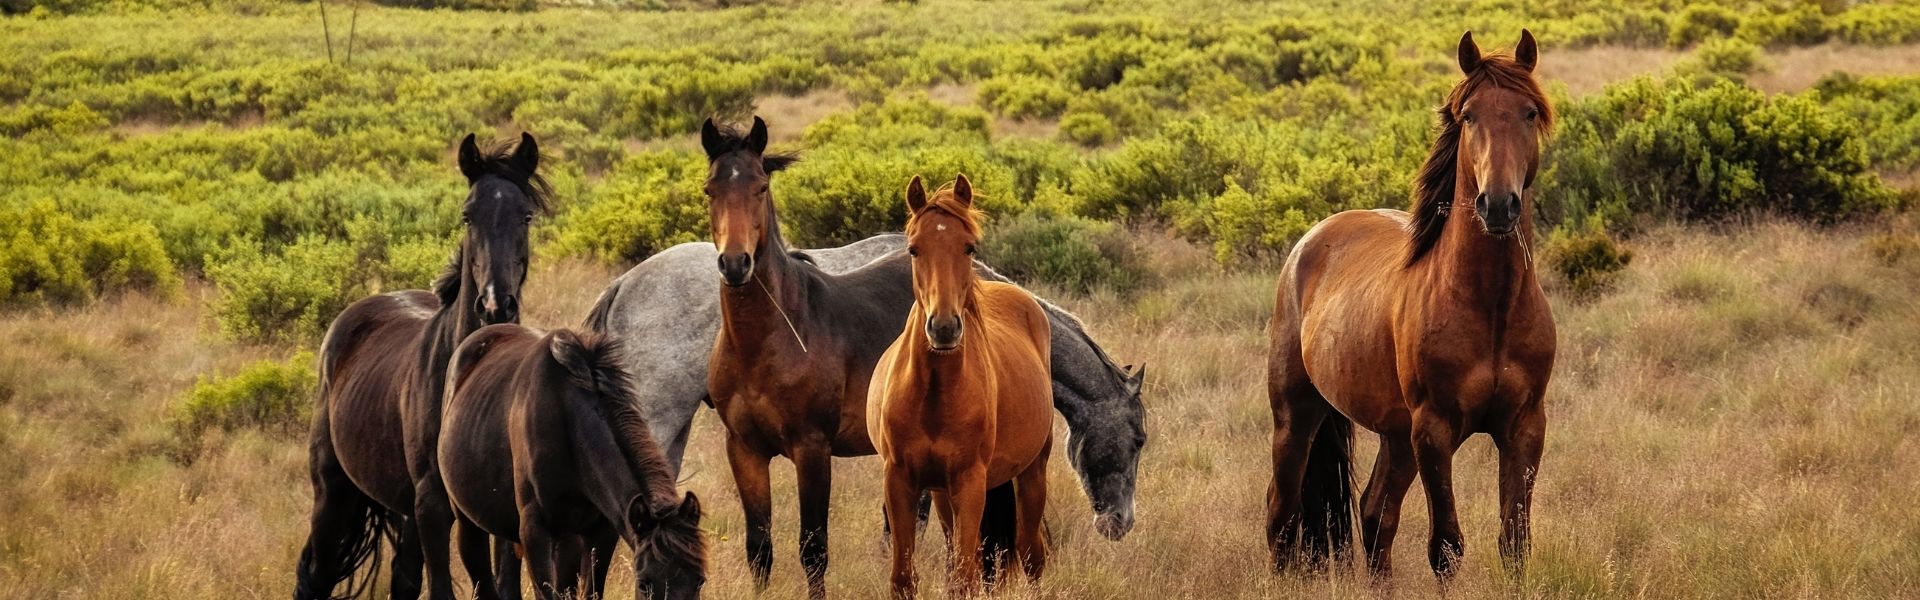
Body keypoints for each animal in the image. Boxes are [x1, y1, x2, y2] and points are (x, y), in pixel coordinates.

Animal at [294, 132, 548, 600]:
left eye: (525, 215)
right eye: (467, 216)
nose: (494, 305)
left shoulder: (499, 510)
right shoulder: (432, 504)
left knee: (403, 577)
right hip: (334, 492)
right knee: (315, 574)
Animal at [869, 175, 1054, 599]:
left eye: (969, 246)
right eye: (913, 248)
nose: (944, 327)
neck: (933, 396)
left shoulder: (970, 482)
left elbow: (966, 578)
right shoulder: (900, 480)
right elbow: (904, 577)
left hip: (1032, 472)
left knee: (1031, 553)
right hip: (941, 493)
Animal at [1265, 30, 1556, 580]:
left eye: (1529, 112)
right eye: (1469, 116)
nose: (1498, 205)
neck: (1491, 307)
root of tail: (1311, 241)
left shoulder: (1524, 427)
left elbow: (1515, 542)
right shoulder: (1434, 432)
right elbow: (1446, 546)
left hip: (1395, 436)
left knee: (1374, 514)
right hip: (1296, 415)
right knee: (1282, 514)